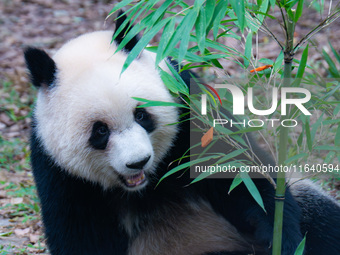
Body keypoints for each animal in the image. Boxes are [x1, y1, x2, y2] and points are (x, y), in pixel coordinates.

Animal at [24, 13, 340, 255]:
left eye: (142, 115)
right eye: (100, 131)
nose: (138, 162)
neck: (144, 187)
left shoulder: (190, 109)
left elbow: (241, 175)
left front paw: (281, 240)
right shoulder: (59, 171)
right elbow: (80, 234)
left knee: (321, 219)